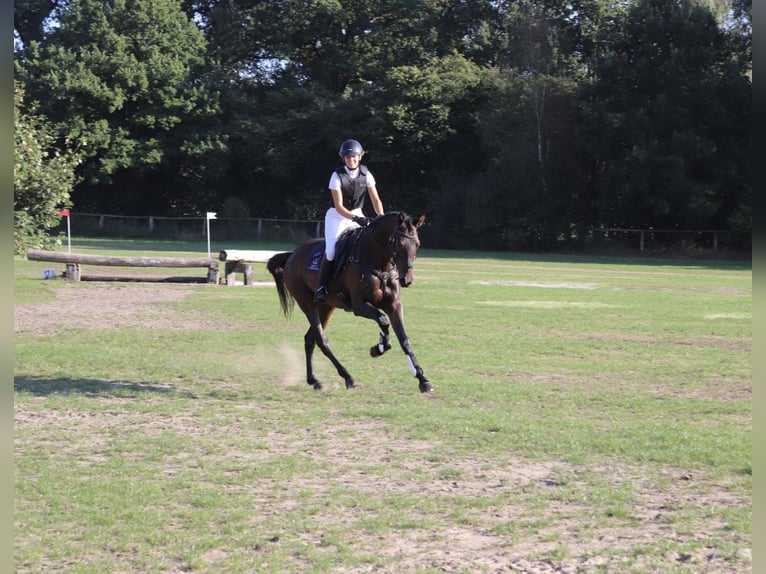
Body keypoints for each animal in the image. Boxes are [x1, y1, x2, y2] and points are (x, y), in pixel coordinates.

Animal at [266, 213, 436, 396]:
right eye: (399, 244)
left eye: (417, 244)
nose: (407, 279)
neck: (378, 263)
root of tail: (293, 255)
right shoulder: (358, 305)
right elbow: (383, 320)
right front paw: (379, 347)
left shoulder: (394, 305)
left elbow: (404, 339)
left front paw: (422, 379)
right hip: (307, 303)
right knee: (322, 340)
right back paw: (347, 377)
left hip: (326, 307)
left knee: (310, 339)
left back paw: (314, 380)